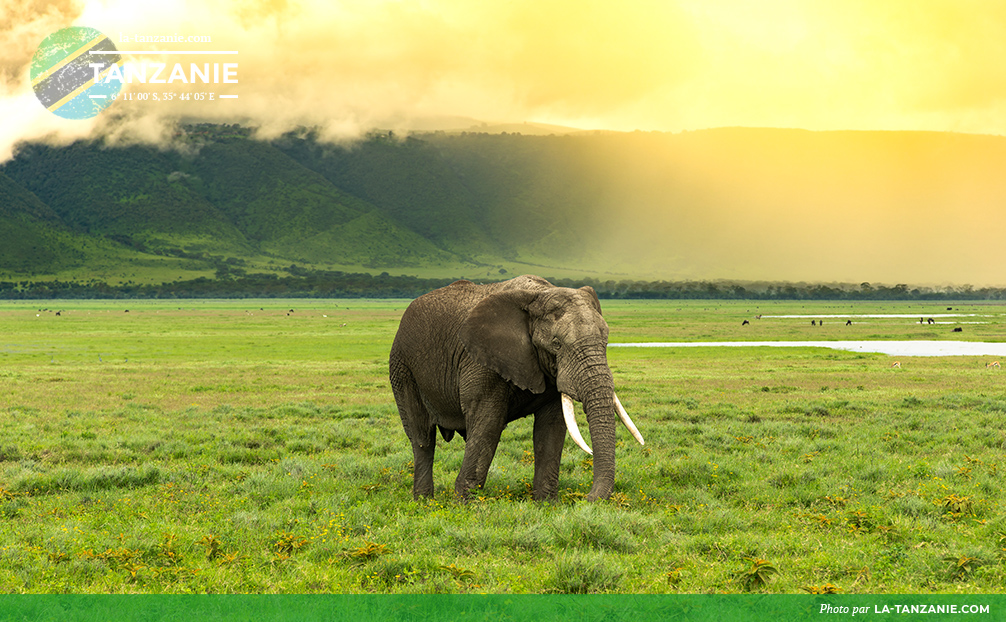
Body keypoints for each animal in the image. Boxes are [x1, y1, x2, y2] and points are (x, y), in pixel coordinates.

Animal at [388, 273, 639, 501]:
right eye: (556, 344)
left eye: (606, 341)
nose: (586, 498)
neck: (539, 294)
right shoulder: (481, 360)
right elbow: (488, 422)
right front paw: (466, 504)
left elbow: (551, 427)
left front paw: (546, 503)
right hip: (402, 367)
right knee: (422, 437)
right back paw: (424, 501)